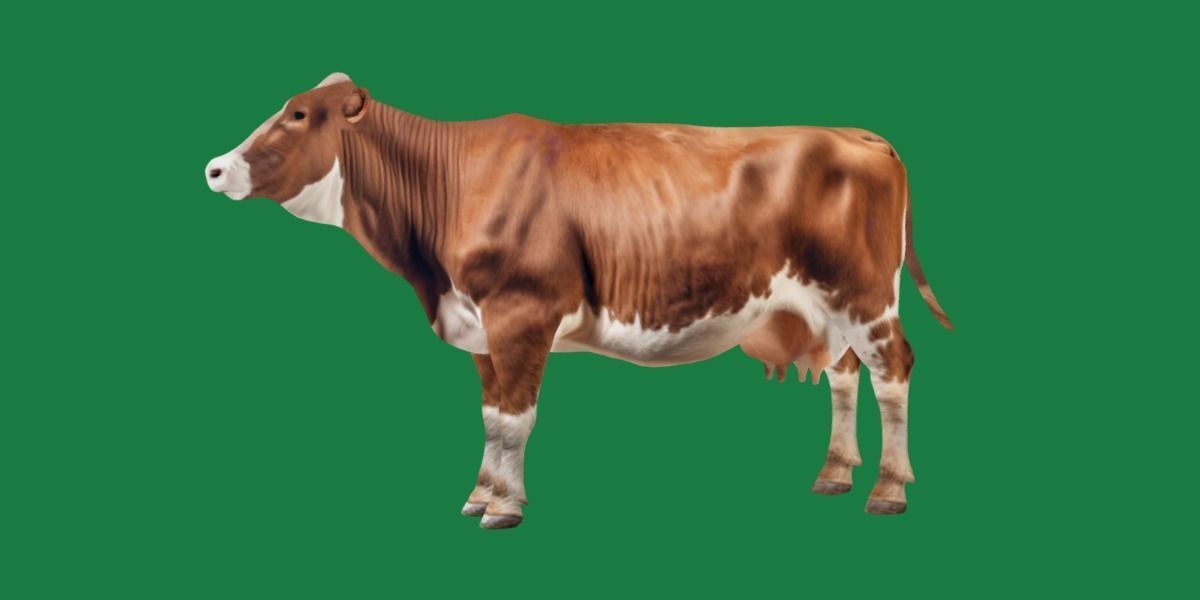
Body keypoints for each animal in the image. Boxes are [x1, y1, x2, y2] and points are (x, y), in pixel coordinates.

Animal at [205, 73, 952, 529]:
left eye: (298, 115)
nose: (214, 168)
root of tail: (853, 133)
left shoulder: (522, 312)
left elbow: (514, 420)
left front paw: (504, 507)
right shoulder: (479, 325)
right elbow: (490, 415)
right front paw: (481, 493)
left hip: (863, 295)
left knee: (892, 372)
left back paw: (887, 489)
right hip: (830, 308)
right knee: (845, 374)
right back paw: (835, 474)